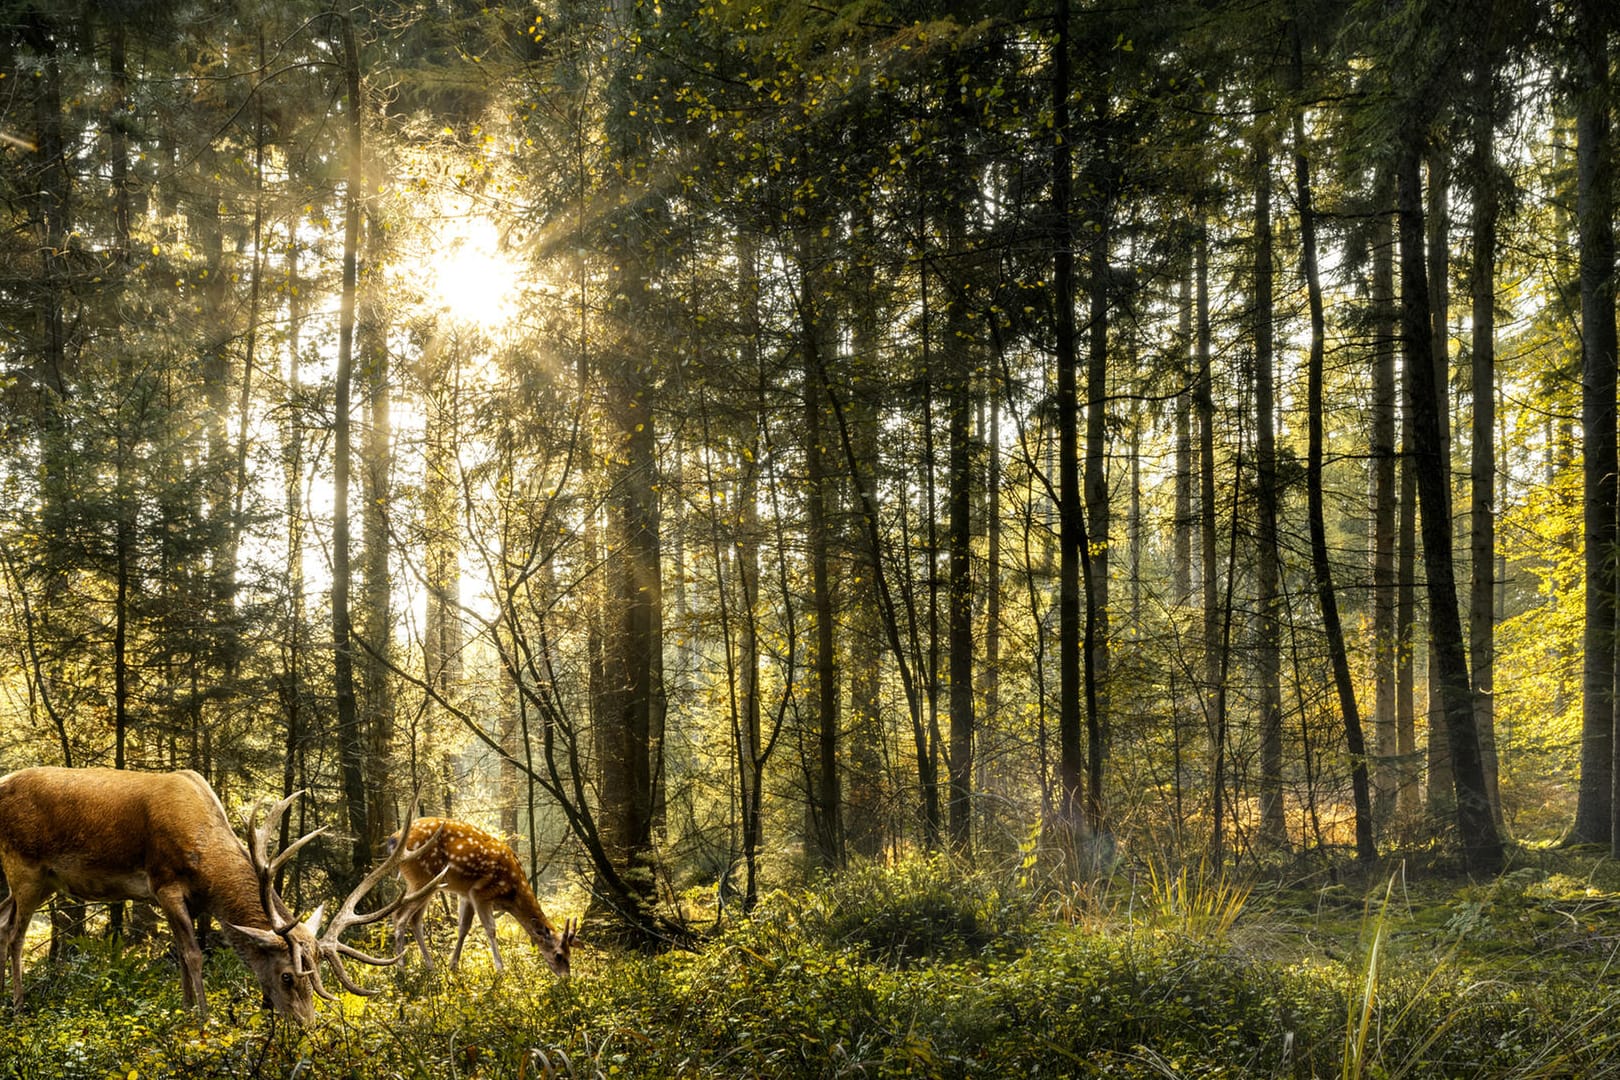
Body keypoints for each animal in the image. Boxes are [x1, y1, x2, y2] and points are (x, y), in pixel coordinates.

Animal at [0, 764, 443, 1029]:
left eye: (316, 974)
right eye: (288, 976)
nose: (307, 1026)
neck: (206, 859)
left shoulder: (188, 900)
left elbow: (181, 957)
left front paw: (182, 1013)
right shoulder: (164, 883)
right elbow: (195, 955)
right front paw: (204, 1020)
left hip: (31, 882)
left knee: (3, 922)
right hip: (24, 869)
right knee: (15, 937)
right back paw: (18, 1007)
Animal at [387, 819, 576, 977]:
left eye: (570, 953)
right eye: (558, 955)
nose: (566, 977)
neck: (512, 893)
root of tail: (394, 839)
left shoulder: (467, 894)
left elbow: (463, 928)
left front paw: (452, 966)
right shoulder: (480, 892)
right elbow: (491, 929)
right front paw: (501, 970)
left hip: (426, 884)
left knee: (415, 919)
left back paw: (430, 966)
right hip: (422, 878)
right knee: (399, 916)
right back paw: (401, 969)